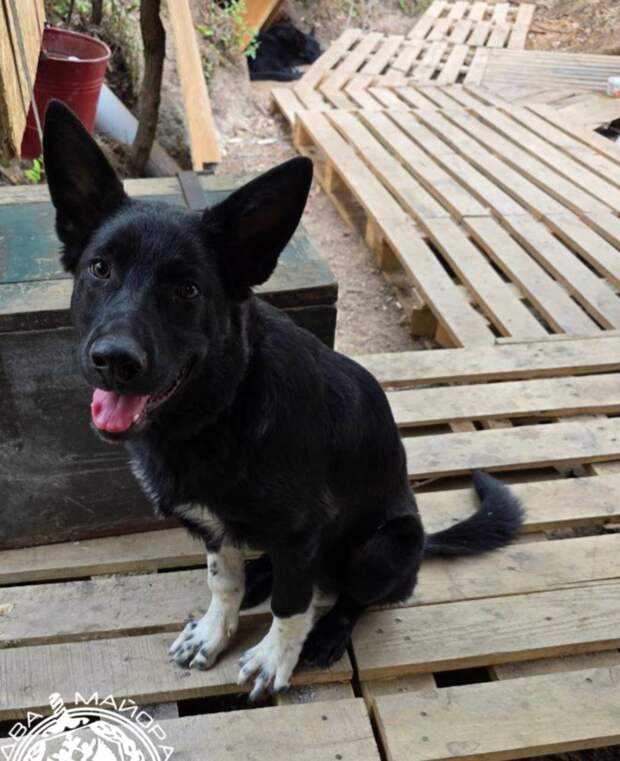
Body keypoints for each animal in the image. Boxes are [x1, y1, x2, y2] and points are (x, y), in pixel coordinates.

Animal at [43, 101, 523, 701]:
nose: (114, 360)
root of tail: (423, 541)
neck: (220, 411)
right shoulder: (213, 527)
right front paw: (215, 630)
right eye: (100, 268)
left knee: (353, 596)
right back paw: (260, 580)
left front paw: (275, 657)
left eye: (188, 289)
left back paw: (329, 630)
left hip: (385, 546)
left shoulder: (301, 531)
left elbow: (293, 606)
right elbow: (223, 581)